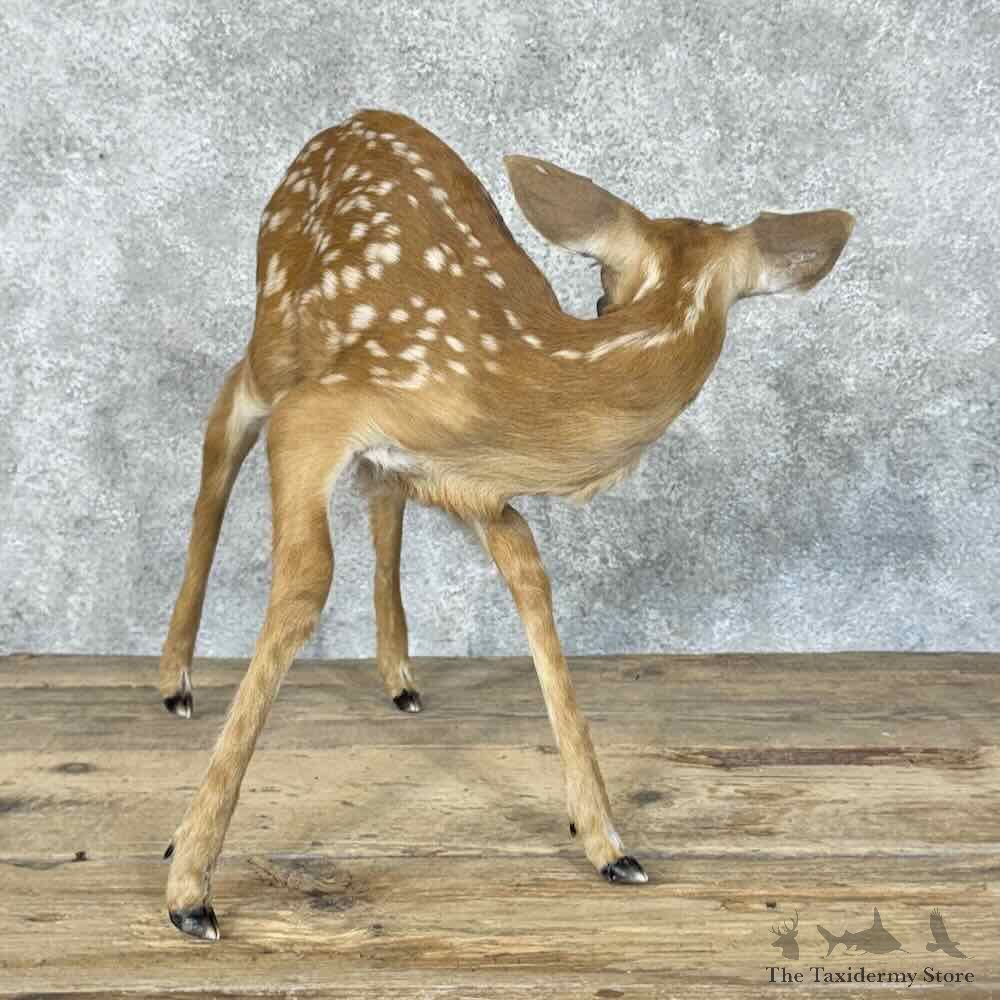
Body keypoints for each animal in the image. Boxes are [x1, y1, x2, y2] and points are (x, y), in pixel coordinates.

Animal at [158, 108, 854, 939]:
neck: (522, 382)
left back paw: (399, 677)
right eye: (597, 278)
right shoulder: (318, 413)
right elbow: (303, 584)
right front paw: (189, 881)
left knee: (378, 491)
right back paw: (175, 681)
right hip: (278, 324)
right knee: (223, 418)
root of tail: (351, 120)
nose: (601, 308)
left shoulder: (480, 491)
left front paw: (607, 841)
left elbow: (531, 581)